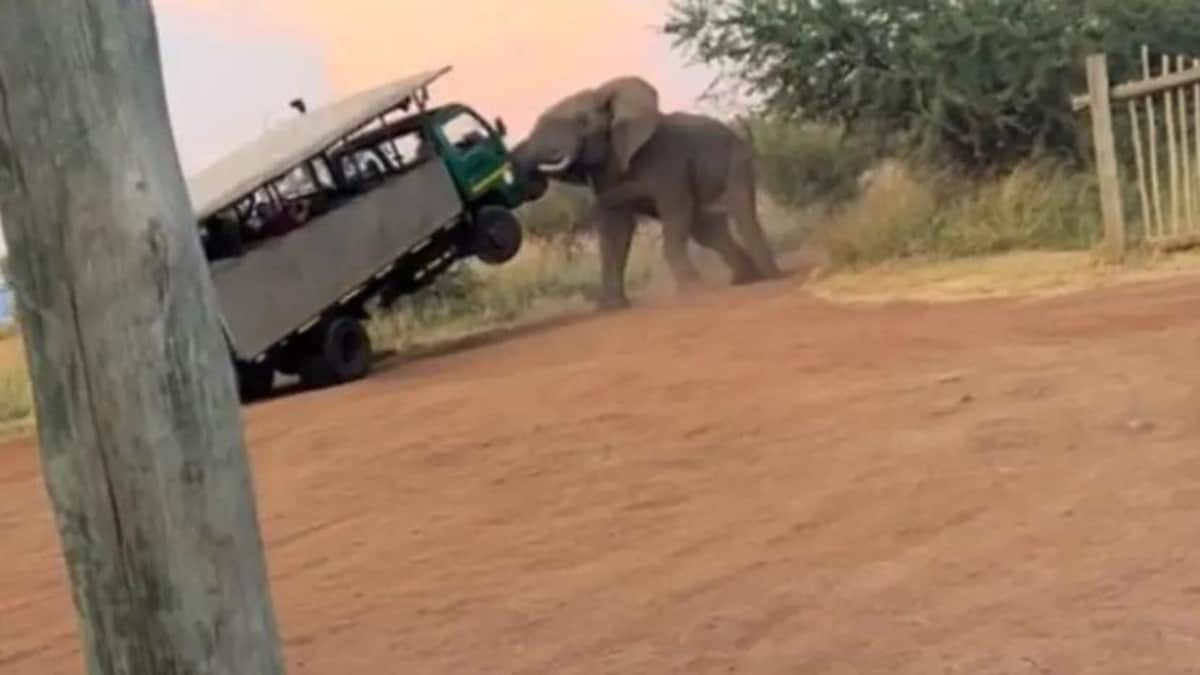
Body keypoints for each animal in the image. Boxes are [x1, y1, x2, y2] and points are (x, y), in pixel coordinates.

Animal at [509, 76, 783, 311]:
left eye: (582, 121)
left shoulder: (668, 162)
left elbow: (675, 211)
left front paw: (691, 291)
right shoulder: (607, 178)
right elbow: (615, 232)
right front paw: (611, 307)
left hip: (736, 162)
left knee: (740, 212)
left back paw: (769, 277)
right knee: (707, 229)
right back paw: (745, 279)